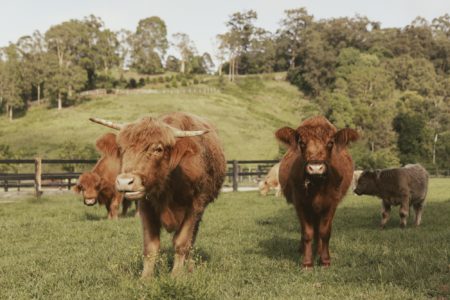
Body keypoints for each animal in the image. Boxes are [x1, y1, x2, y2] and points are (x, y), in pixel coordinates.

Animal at [90, 113, 227, 278]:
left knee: (192, 239)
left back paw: (190, 266)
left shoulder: (194, 207)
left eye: (158, 149)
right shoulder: (146, 207)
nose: (124, 182)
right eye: (122, 148)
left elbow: (181, 242)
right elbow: (151, 246)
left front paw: (176, 275)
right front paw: (146, 277)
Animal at [274, 116, 358, 268]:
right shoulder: (300, 203)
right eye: (301, 143)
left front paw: (325, 260)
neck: (317, 185)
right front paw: (307, 262)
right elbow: (307, 232)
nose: (315, 167)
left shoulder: (331, 204)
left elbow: (325, 232)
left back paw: (318, 250)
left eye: (330, 143)